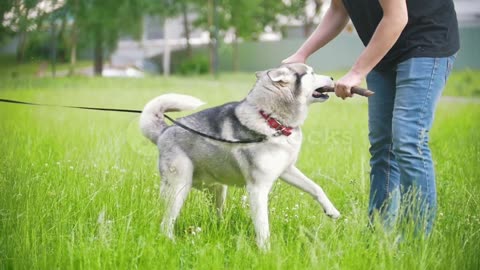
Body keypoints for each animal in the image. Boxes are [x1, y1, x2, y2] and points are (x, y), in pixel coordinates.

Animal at [140, 62, 342, 249]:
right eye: (311, 73)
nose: (333, 78)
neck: (271, 120)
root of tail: (164, 131)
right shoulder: (257, 188)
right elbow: (263, 225)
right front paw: (265, 251)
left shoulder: (287, 170)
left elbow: (316, 188)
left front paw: (331, 210)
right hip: (179, 189)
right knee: (166, 223)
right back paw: (171, 242)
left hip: (217, 190)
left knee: (215, 215)